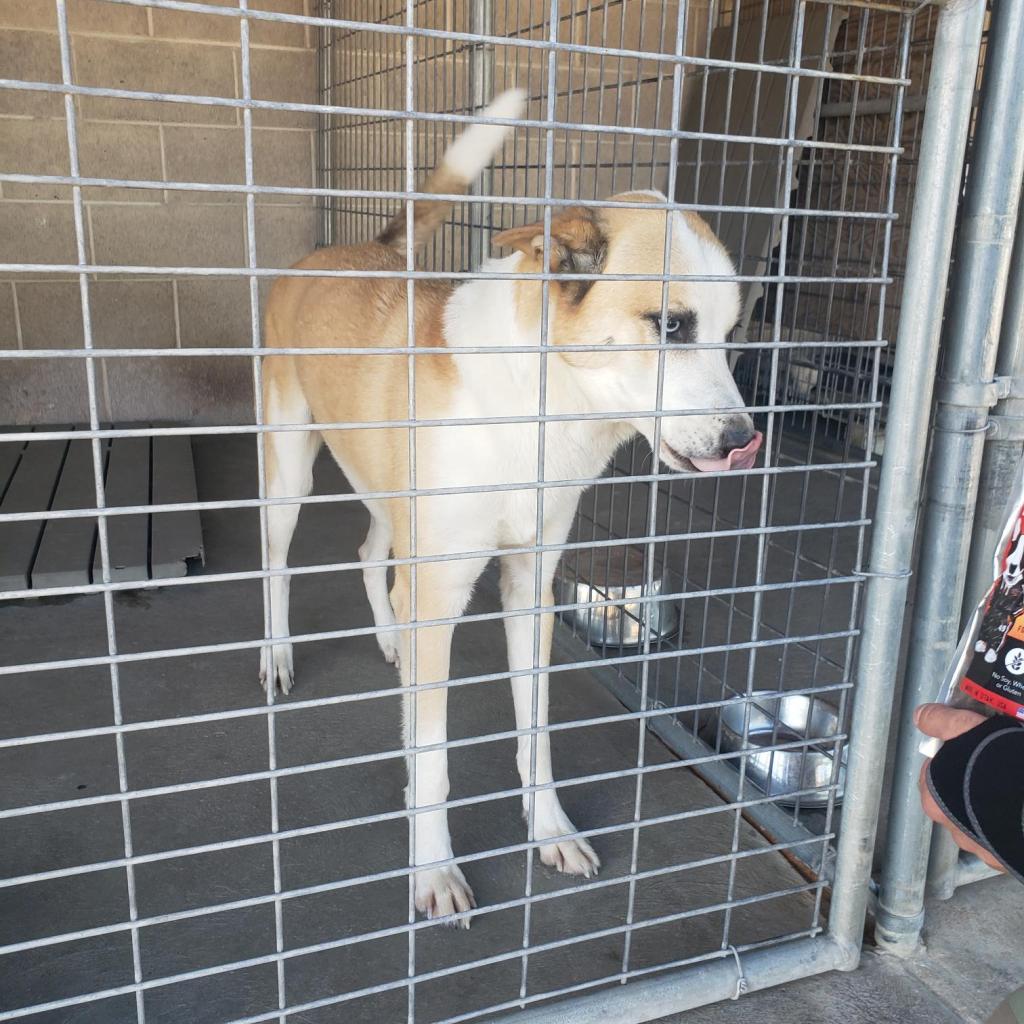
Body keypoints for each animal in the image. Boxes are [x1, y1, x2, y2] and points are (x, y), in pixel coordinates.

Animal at [260, 92, 765, 929]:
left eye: (732, 336)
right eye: (671, 325)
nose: (742, 442)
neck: (544, 407)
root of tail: (345, 249)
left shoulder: (531, 590)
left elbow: (537, 731)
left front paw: (550, 829)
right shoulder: (440, 594)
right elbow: (431, 760)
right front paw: (434, 871)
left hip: (387, 490)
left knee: (371, 556)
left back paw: (389, 640)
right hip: (288, 471)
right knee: (277, 567)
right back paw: (277, 656)